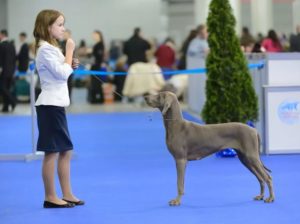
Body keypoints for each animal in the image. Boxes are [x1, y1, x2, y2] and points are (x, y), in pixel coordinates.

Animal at [144, 91, 276, 206]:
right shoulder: (183, 162)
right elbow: (182, 182)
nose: (145, 97)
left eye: (159, 95)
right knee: (260, 178)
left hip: (251, 156)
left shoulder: (180, 160)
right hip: (245, 159)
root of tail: (254, 130)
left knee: (267, 177)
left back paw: (270, 198)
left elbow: (179, 183)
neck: (176, 126)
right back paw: (260, 196)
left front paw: (177, 201)